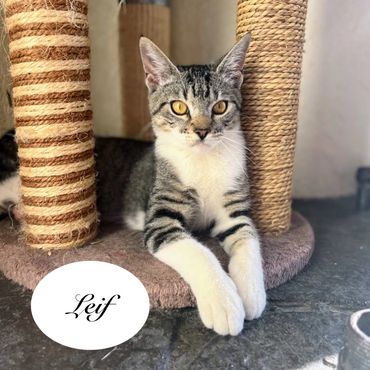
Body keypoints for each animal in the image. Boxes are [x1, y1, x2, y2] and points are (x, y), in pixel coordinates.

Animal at [0, 34, 266, 336]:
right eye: (179, 107)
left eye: (220, 106)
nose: (202, 131)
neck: (203, 161)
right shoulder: (160, 217)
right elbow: (197, 251)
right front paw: (224, 302)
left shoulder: (233, 208)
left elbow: (248, 239)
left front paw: (252, 294)